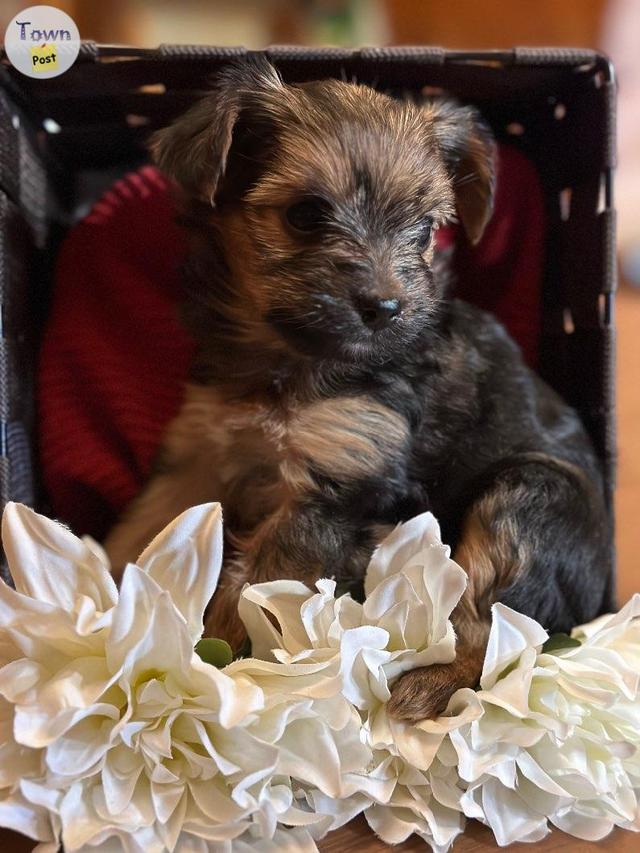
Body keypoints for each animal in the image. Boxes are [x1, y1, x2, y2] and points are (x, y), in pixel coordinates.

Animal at [102, 55, 612, 720]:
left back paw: (429, 686)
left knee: (499, 629)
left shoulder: (337, 480)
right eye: (305, 215)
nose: (386, 306)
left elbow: (252, 593)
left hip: (533, 497)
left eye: (424, 231)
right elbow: (144, 525)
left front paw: (221, 671)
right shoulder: (200, 451)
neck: (288, 358)